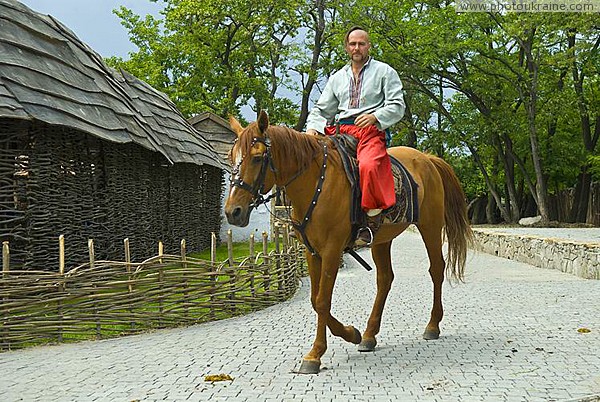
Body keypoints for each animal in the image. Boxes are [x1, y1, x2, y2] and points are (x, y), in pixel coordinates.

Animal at [225, 110, 474, 374]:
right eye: (231, 157)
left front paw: (315, 355)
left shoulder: (332, 251)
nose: (233, 212)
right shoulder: (311, 251)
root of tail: (426, 158)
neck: (316, 183)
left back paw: (432, 325)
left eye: (257, 157)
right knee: (385, 279)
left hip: (431, 227)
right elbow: (314, 300)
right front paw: (351, 334)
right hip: (382, 240)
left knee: (436, 269)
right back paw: (368, 335)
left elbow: (323, 301)